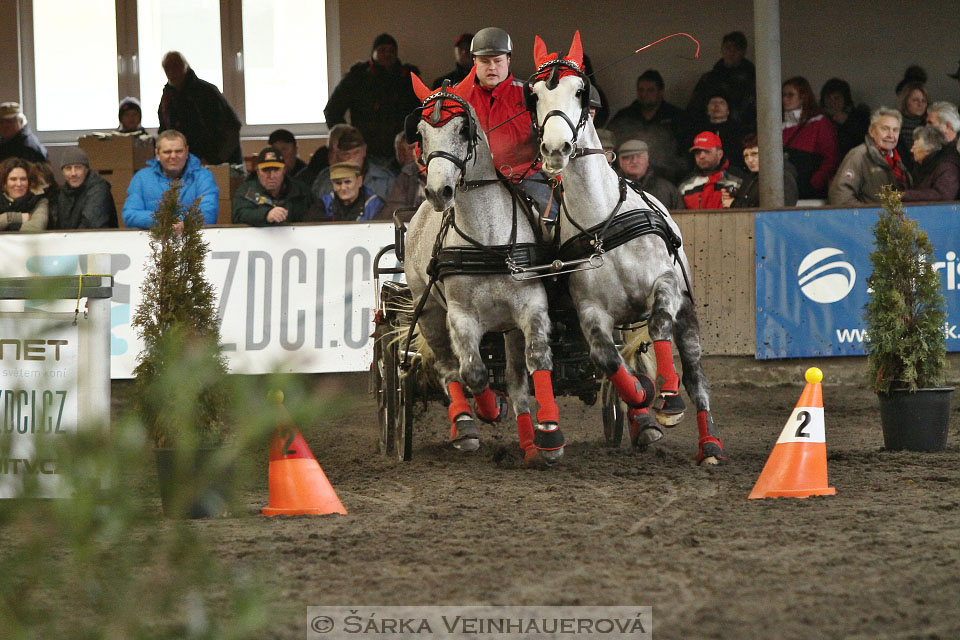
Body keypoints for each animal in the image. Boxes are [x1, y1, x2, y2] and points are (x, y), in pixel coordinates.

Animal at [396, 67, 564, 462]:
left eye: (462, 129)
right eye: (420, 134)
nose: (438, 192)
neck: (488, 239)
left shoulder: (532, 306)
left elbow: (536, 363)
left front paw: (548, 435)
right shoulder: (459, 315)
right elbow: (473, 372)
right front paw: (489, 410)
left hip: (509, 328)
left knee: (516, 381)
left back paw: (528, 441)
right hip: (429, 313)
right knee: (448, 369)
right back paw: (464, 424)